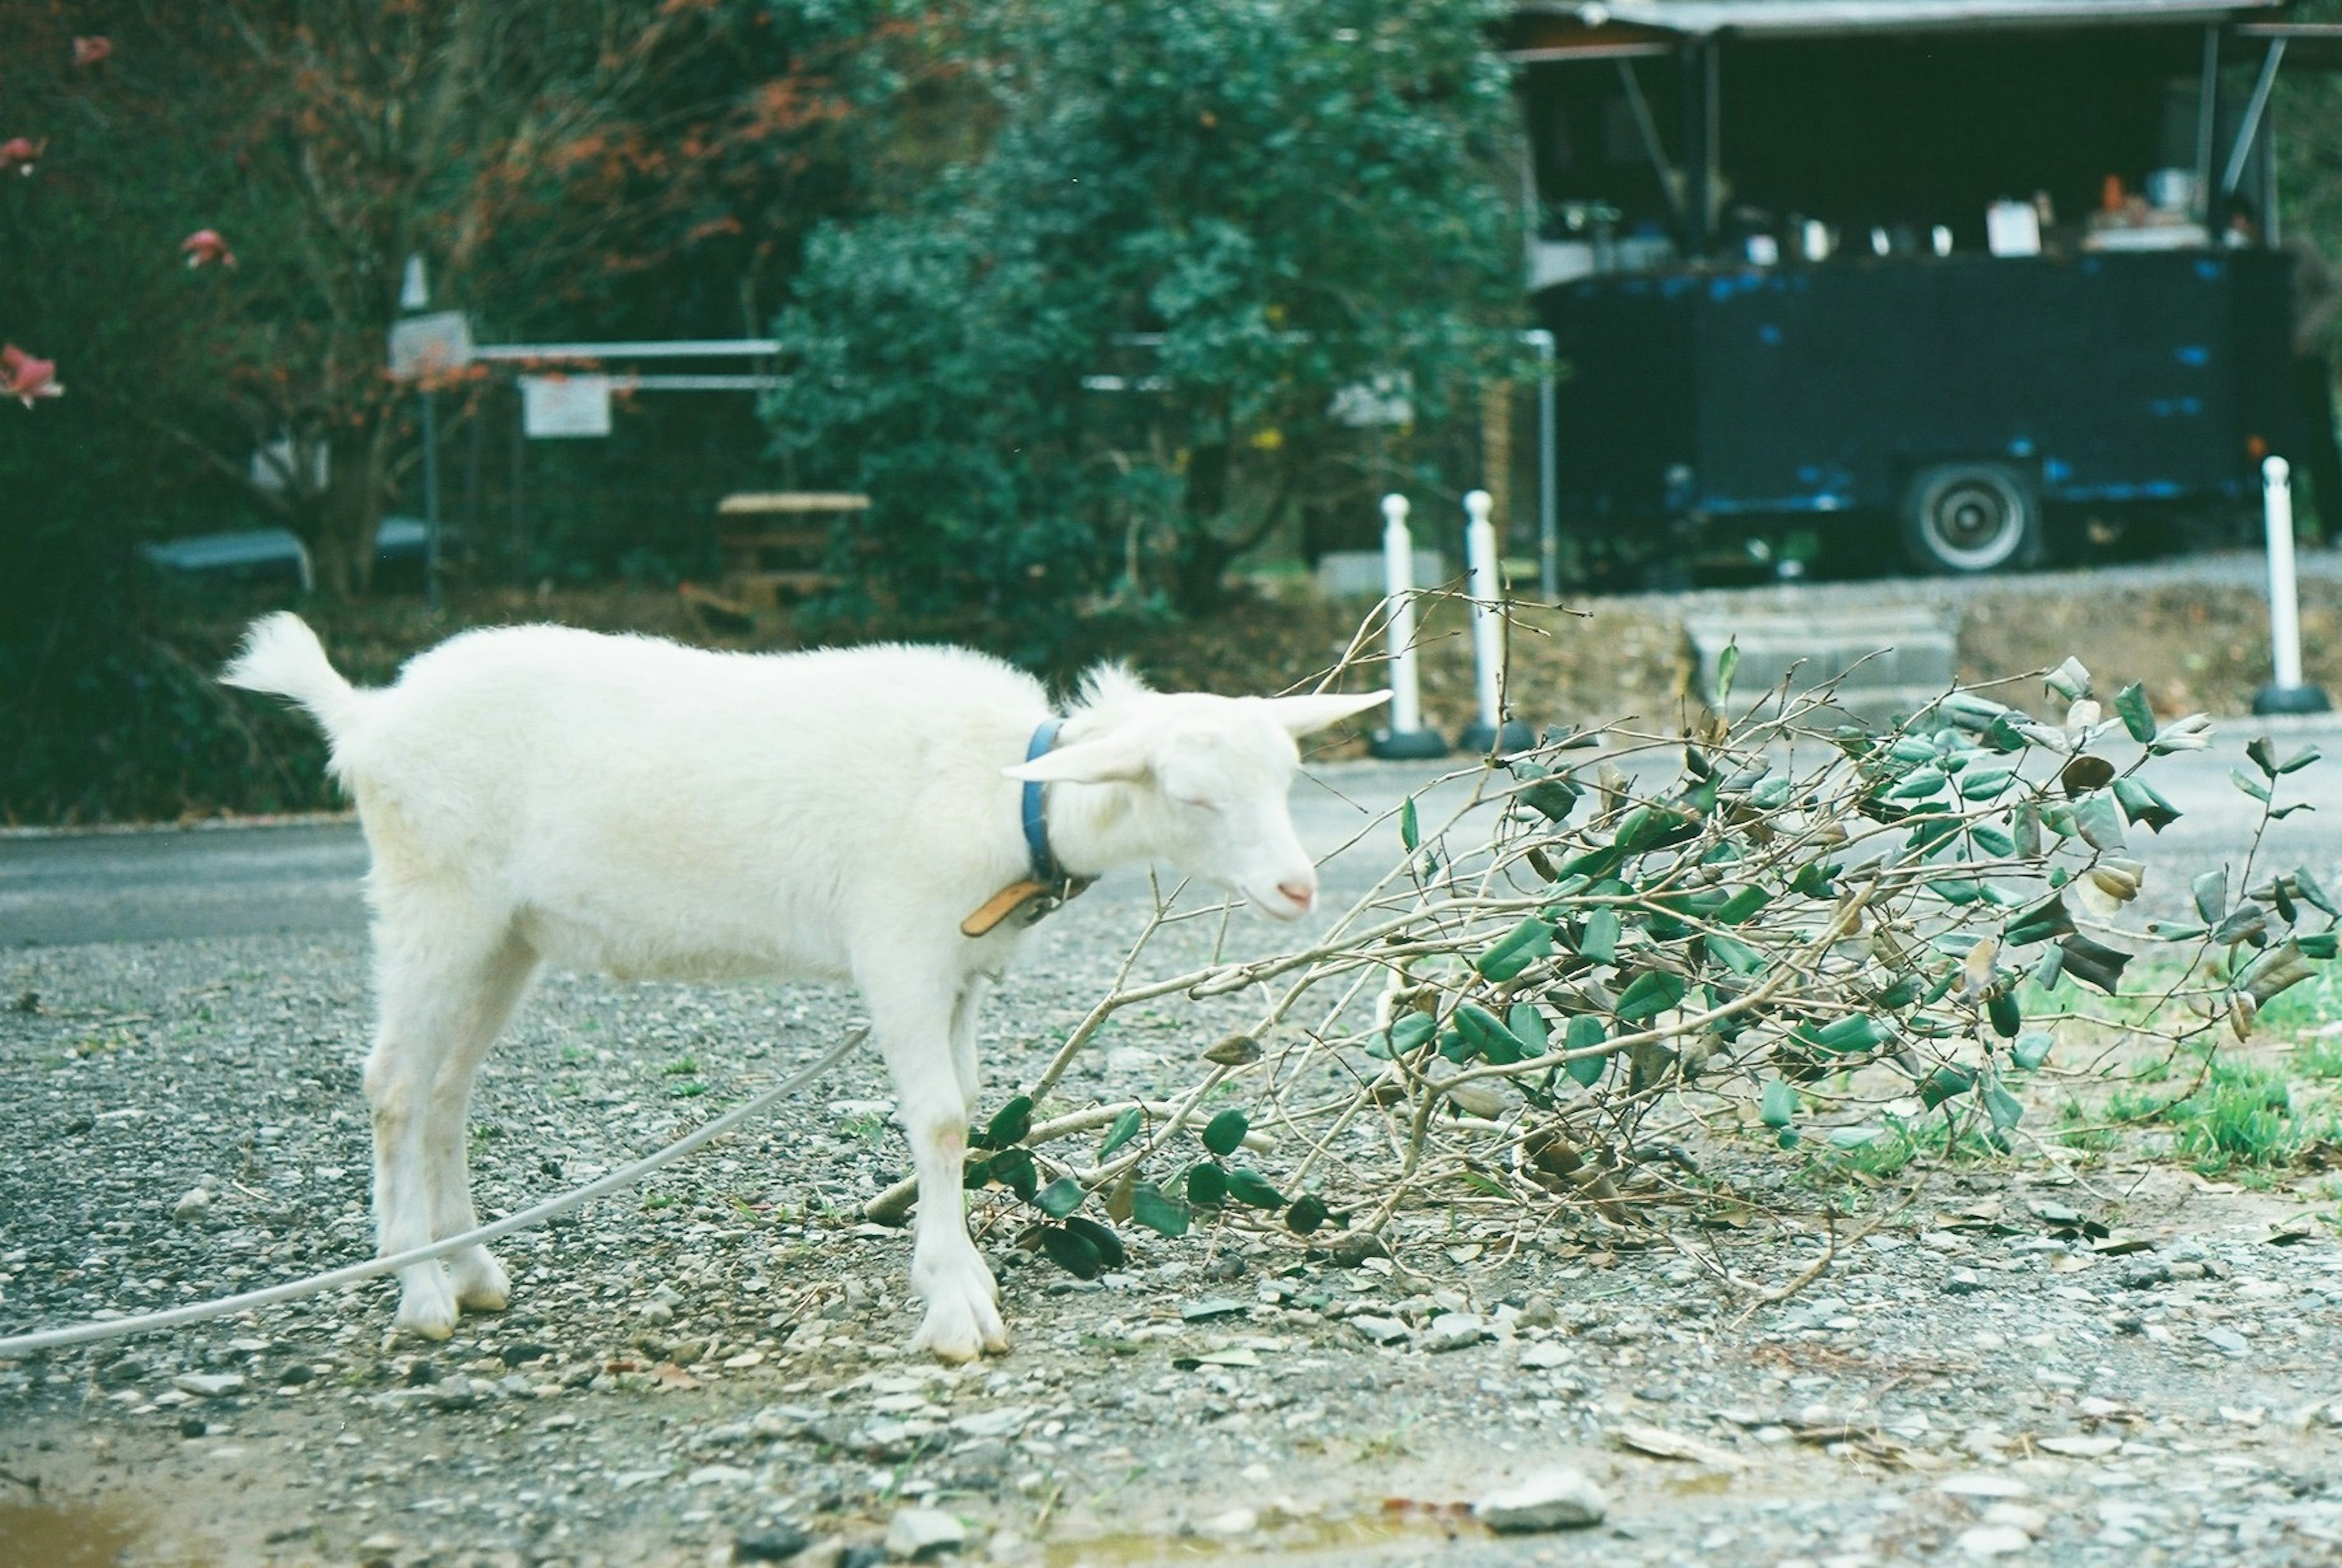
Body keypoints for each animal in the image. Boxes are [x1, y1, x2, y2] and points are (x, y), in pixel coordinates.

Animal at [221, 613, 1377, 1366]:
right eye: (1190, 794)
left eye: (1284, 779)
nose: (1297, 886)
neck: (1010, 798)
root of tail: (365, 717)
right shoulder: (898, 947)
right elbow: (941, 1120)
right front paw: (956, 1309)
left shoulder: (958, 969)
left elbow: (969, 1112)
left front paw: (957, 1270)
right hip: (435, 899)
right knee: (394, 1084)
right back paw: (418, 1291)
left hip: (508, 933)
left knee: (448, 1088)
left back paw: (469, 1271)